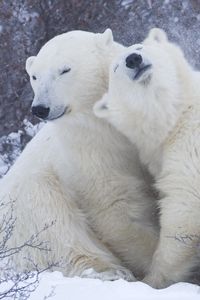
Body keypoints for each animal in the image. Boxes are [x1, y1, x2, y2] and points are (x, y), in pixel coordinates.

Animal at [0, 28, 159, 282]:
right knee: (55, 225)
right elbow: (115, 205)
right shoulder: (88, 149)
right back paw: (110, 271)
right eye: (34, 76)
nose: (40, 108)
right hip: (27, 206)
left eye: (65, 69)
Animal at [94, 28, 200, 288]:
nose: (133, 59)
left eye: (140, 47)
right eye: (115, 67)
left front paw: (152, 279)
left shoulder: (188, 145)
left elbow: (183, 207)